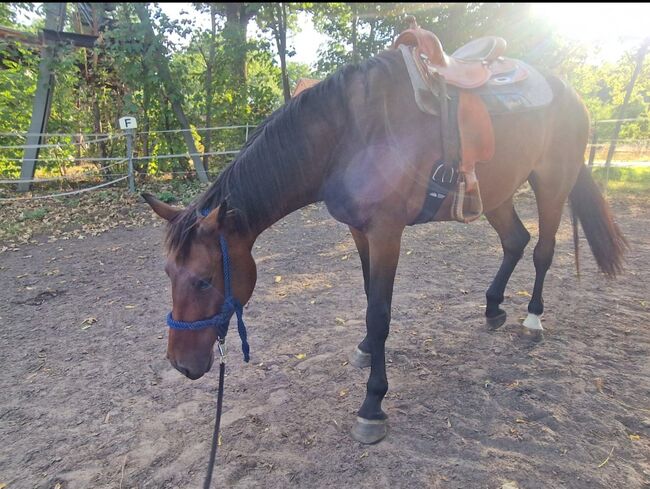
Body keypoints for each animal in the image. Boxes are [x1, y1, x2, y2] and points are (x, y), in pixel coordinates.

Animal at [142, 47, 624, 444]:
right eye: (168, 273)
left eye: (205, 280)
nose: (180, 364)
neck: (348, 137)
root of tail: (572, 95)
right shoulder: (359, 231)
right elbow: (368, 296)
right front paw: (366, 351)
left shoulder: (386, 231)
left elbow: (380, 313)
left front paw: (372, 405)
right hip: (498, 193)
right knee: (515, 241)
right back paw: (492, 308)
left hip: (552, 183)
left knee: (543, 249)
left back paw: (533, 319)